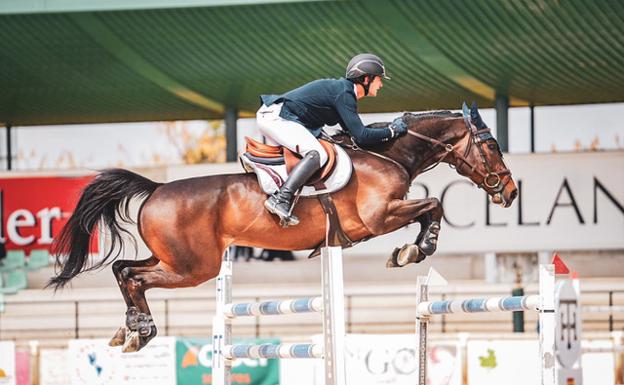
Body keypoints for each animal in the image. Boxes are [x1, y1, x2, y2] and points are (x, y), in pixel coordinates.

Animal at [47, 102, 516, 352]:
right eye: (492, 144)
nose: (510, 192)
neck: (386, 154)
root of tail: (158, 187)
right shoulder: (379, 217)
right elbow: (434, 205)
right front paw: (414, 250)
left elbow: (430, 206)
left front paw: (412, 249)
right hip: (193, 266)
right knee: (133, 275)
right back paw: (141, 329)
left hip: (174, 257)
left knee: (123, 269)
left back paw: (131, 330)